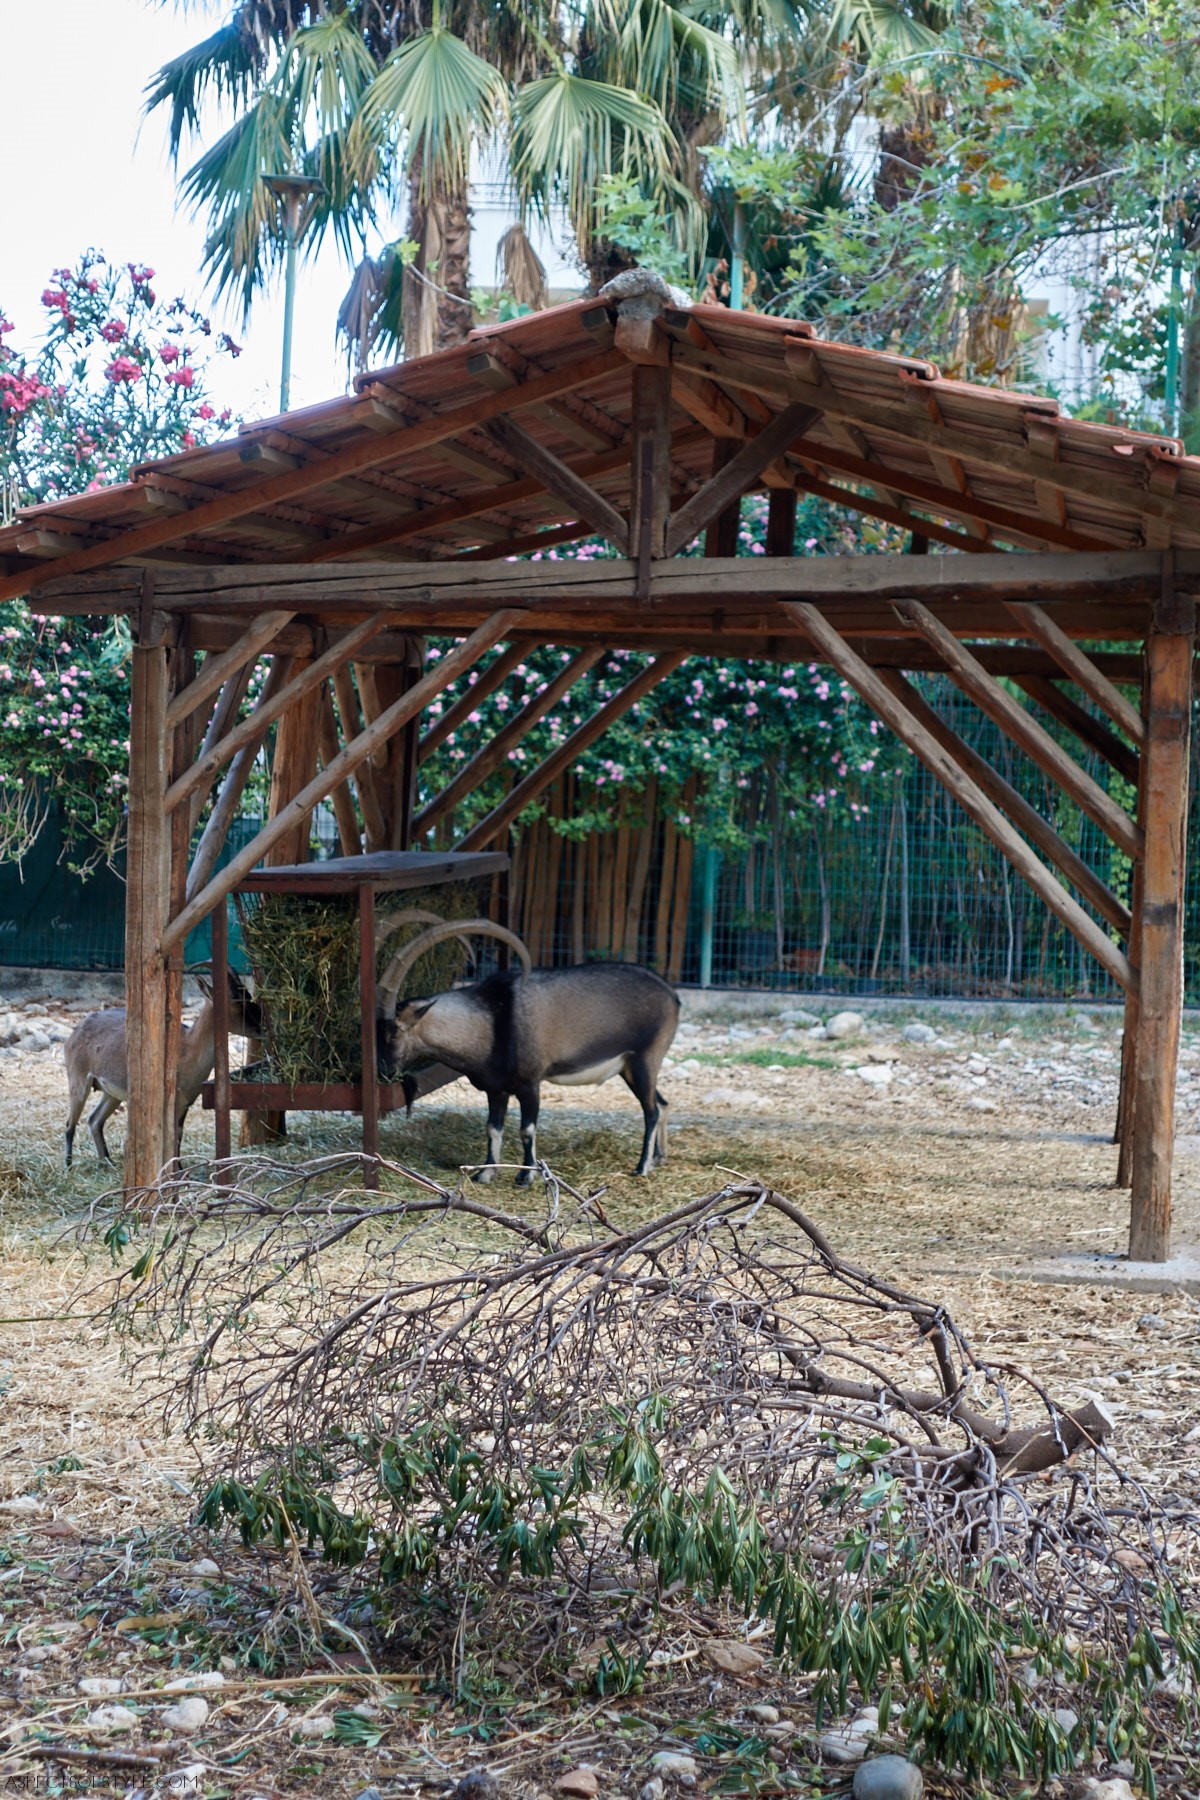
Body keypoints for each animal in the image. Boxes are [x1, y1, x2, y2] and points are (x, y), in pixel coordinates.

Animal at [63, 972, 260, 1167]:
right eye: (236, 1001)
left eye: (247, 994)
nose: (260, 1027)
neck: (187, 1048)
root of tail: (74, 1033)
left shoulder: (185, 1103)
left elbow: (177, 1134)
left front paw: (178, 1168)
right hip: (78, 1082)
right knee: (70, 1124)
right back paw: (68, 1165)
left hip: (111, 1094)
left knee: (94, 1120)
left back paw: (106, 1161)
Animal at [376, 921, 679, 1185]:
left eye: (393, 1033)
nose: (383, 1072)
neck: (492, 1021)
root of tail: (672, 996)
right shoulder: (496, 1089)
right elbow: (492, 1128)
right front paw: (486, 1173)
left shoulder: (530, 1084)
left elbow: (527, 1129)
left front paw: (525, 1177)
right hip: (630, 1068)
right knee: (662, 1104)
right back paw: (658, 1158)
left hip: (644, 1060)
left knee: (651, 1111)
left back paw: (641, 1168)